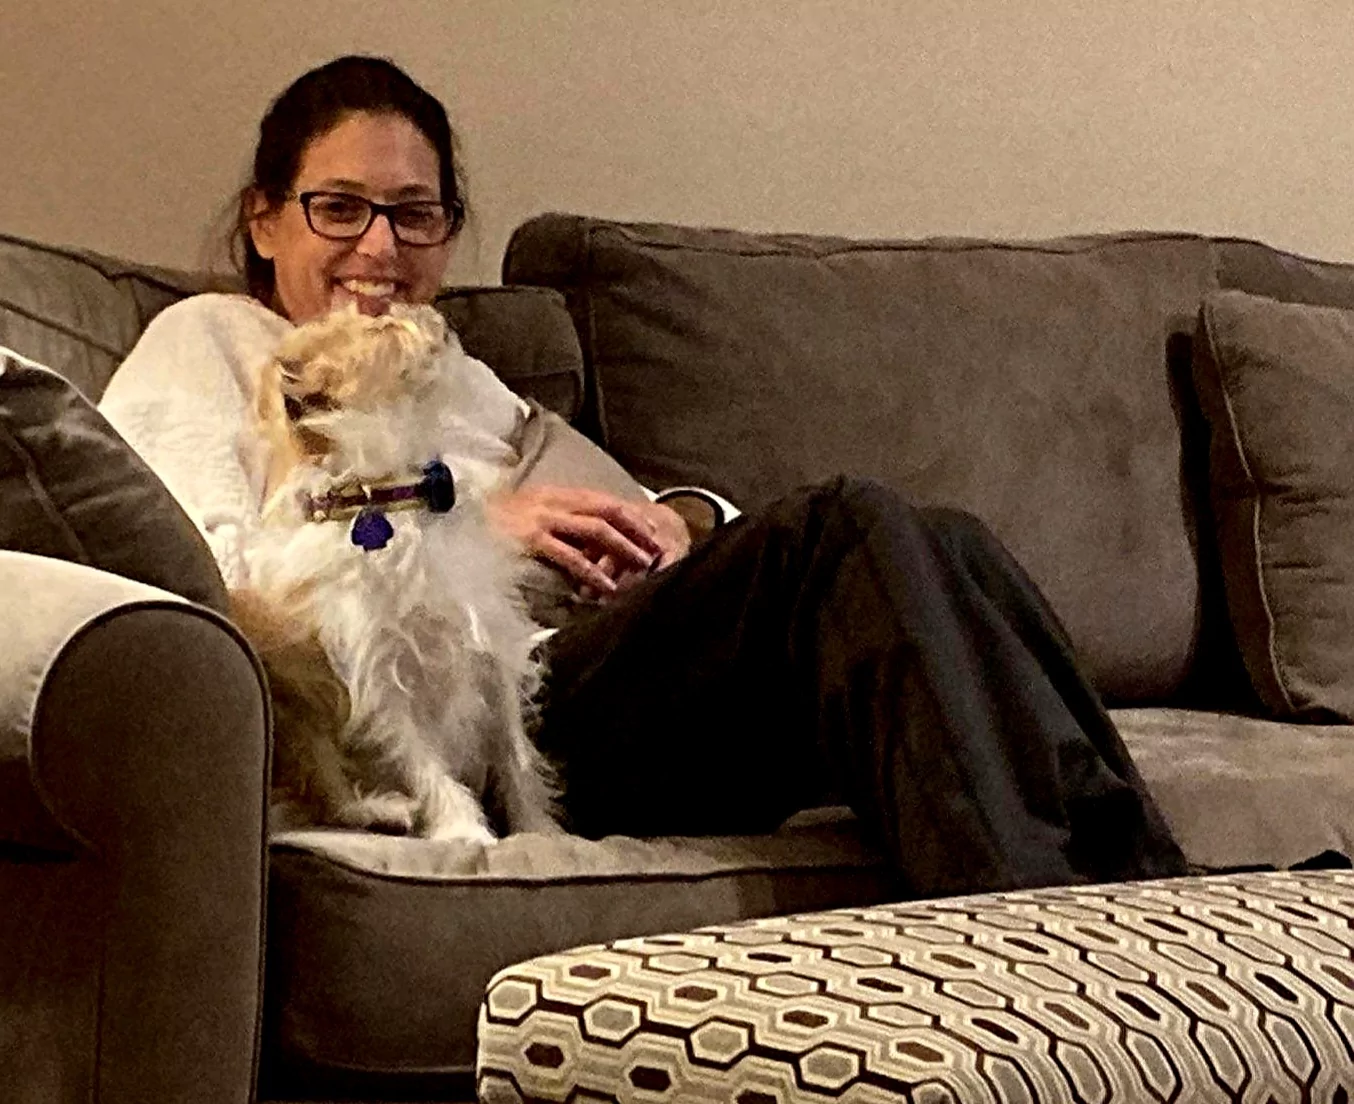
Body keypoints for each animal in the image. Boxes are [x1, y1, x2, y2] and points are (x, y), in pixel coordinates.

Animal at [230, 304, 557, 845]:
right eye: (380, 323)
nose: (423, 309)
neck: (397, 497)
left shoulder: (493, 651)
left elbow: (516, 756)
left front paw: (537, 829)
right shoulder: (379, 680)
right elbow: (422, 762)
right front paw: (466, 831)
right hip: (298, 718)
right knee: (330, 794)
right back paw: (381, 809)